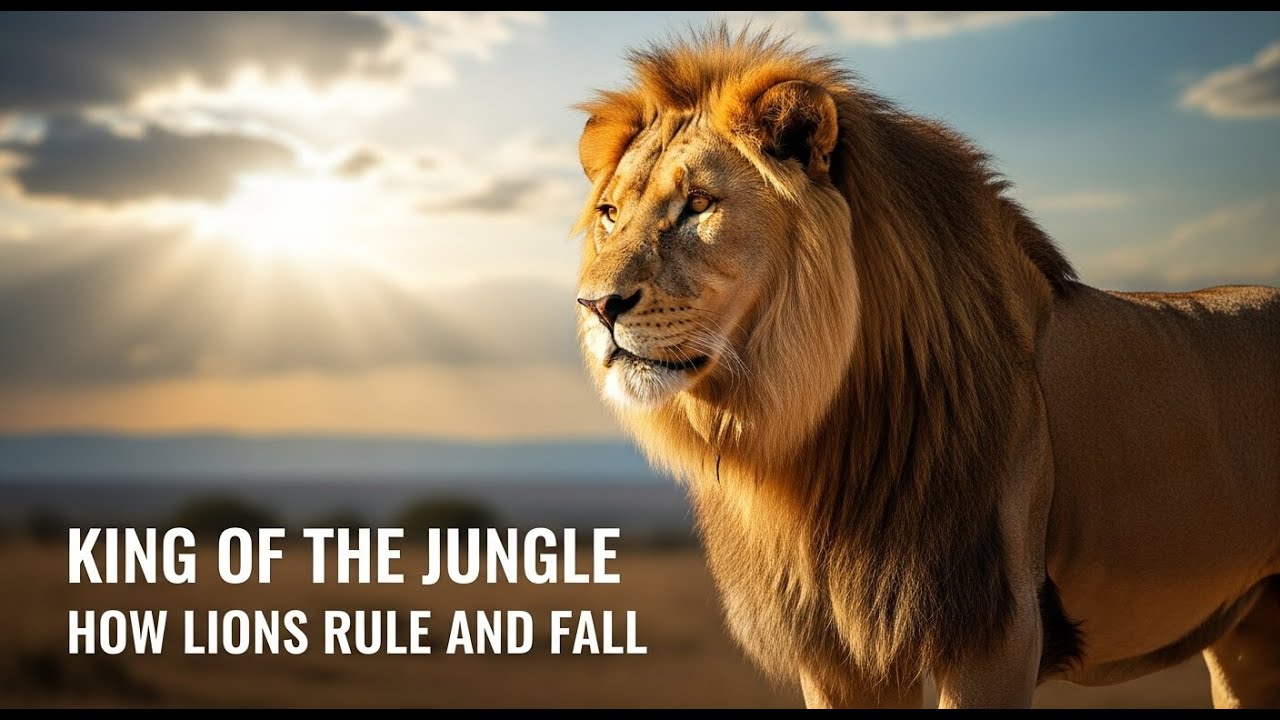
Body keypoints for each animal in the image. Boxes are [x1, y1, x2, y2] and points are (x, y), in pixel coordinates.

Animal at [572, 28, 1280, 708]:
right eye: (611, 214)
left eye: (698, 205)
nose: (596, 305)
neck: (815, 449)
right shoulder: (837, 652)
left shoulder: (996, 629)